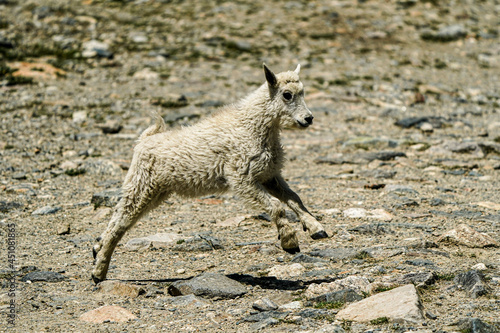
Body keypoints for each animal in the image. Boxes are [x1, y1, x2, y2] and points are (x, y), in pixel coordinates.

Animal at [91, 63, 328, 282]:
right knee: (119, 224)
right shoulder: (241, 177)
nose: (308, 118)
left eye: (303, 92)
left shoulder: (269, 176)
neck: (252, 127)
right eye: (287, 94)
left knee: (117, 218)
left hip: (153, 191)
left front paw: (316, 228)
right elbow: (277, 206)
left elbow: (294, 199)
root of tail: (143, 140)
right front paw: (289, 241)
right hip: (141, 185)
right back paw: (98, 271)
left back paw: (97, 250)